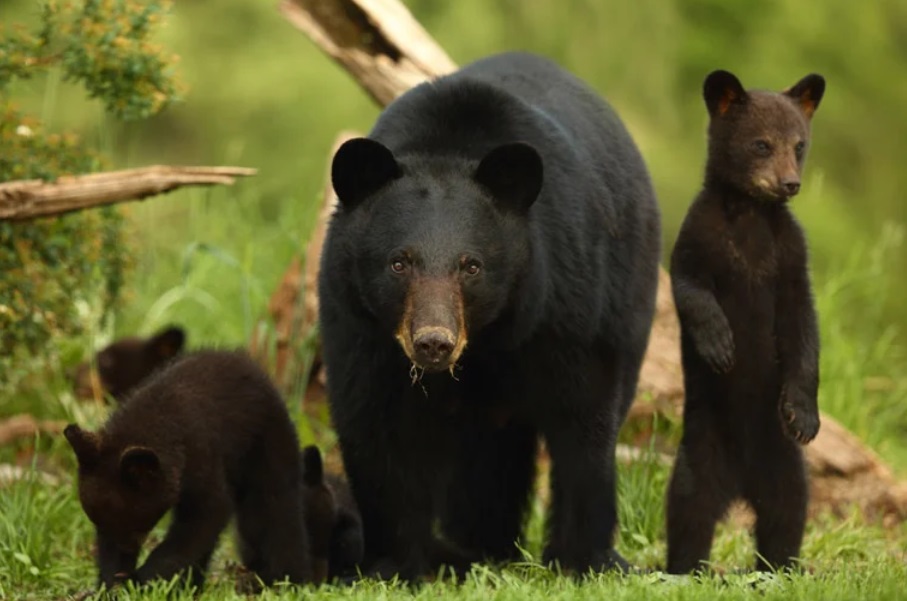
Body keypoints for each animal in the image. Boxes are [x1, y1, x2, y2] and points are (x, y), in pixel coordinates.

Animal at [63, 349, 312, 590]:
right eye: (97, 522)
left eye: (132, 523)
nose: (124, 557)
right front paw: (113, 583)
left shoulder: (201, 456)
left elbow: (206, 514)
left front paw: (142, 580)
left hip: (268, 446)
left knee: (274, 506)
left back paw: (284, 578)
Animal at [318, 51, 662, 579]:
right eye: (399, 262)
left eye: (471, 265)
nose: (433, 341)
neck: (485, 340)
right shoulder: (358, 324)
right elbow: (375, 424)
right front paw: (392, 563)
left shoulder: (564, 302)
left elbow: (584, 417)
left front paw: (585, 560)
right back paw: (478, 546)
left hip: (632, 289)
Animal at [665, 69, 825, 574]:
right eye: (761, 144)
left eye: (799, 144)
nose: (789, 183)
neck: (751, 215)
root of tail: (740, 485)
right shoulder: (698, 238)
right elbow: (691, 289)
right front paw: (720, 347)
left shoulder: (790, 258)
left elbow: (803, 328)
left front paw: (803, 415)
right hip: (699, 454)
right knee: (689, 512)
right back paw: (685, 569)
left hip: (786, 465)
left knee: (787, 514)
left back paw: (779, 569)